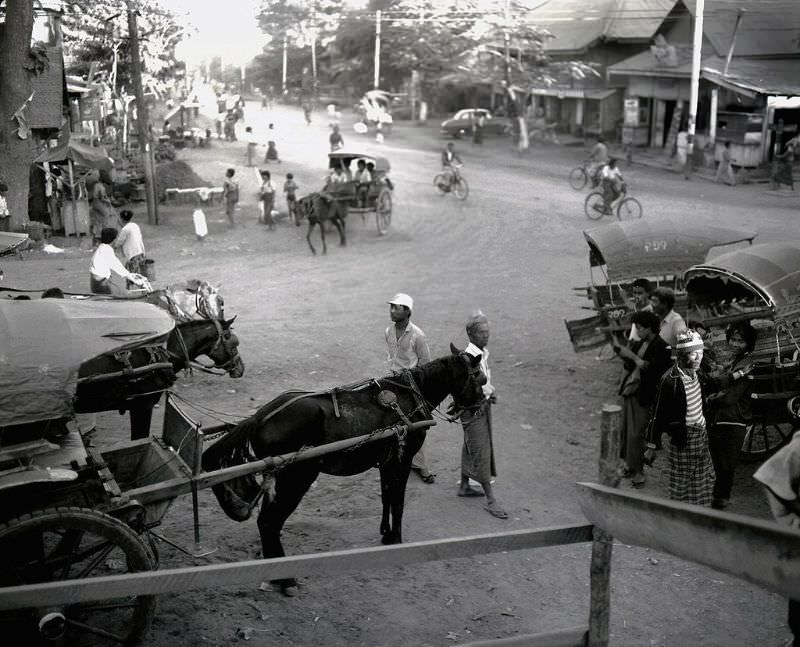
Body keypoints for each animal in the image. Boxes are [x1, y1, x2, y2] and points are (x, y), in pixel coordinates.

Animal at [203, 350, 484, 596]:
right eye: (479, 377)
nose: (481, 404)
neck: (409, 396)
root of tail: (260, 417)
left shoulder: (388, 461)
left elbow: (386, 496)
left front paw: (385, 533)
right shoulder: (402, 459)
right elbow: (398, 500)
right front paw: (396, 538)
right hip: (296, 477)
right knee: (269, 523)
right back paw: (286, 580)